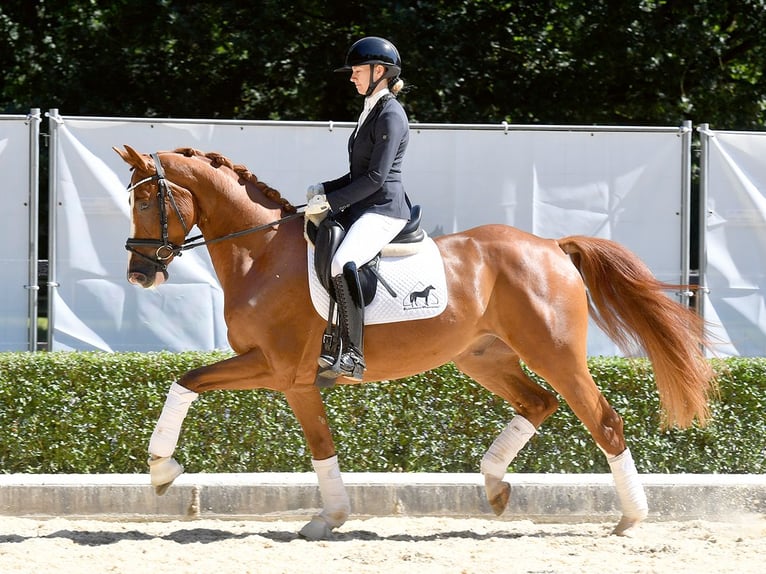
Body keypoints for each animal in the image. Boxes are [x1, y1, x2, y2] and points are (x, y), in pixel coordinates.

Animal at [115, 144, 720, 540]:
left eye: (144, 203)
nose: (140, 275)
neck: (260, 253)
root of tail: (551, 246)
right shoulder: (291, 377)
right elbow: (310, 440)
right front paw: (329, 516)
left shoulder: (280, 369)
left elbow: (192, 384)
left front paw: (162, 469)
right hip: (483, 356)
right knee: (538, 403)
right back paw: (496, 486)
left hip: (554, 354)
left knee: (603, 420)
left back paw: (631, 518)